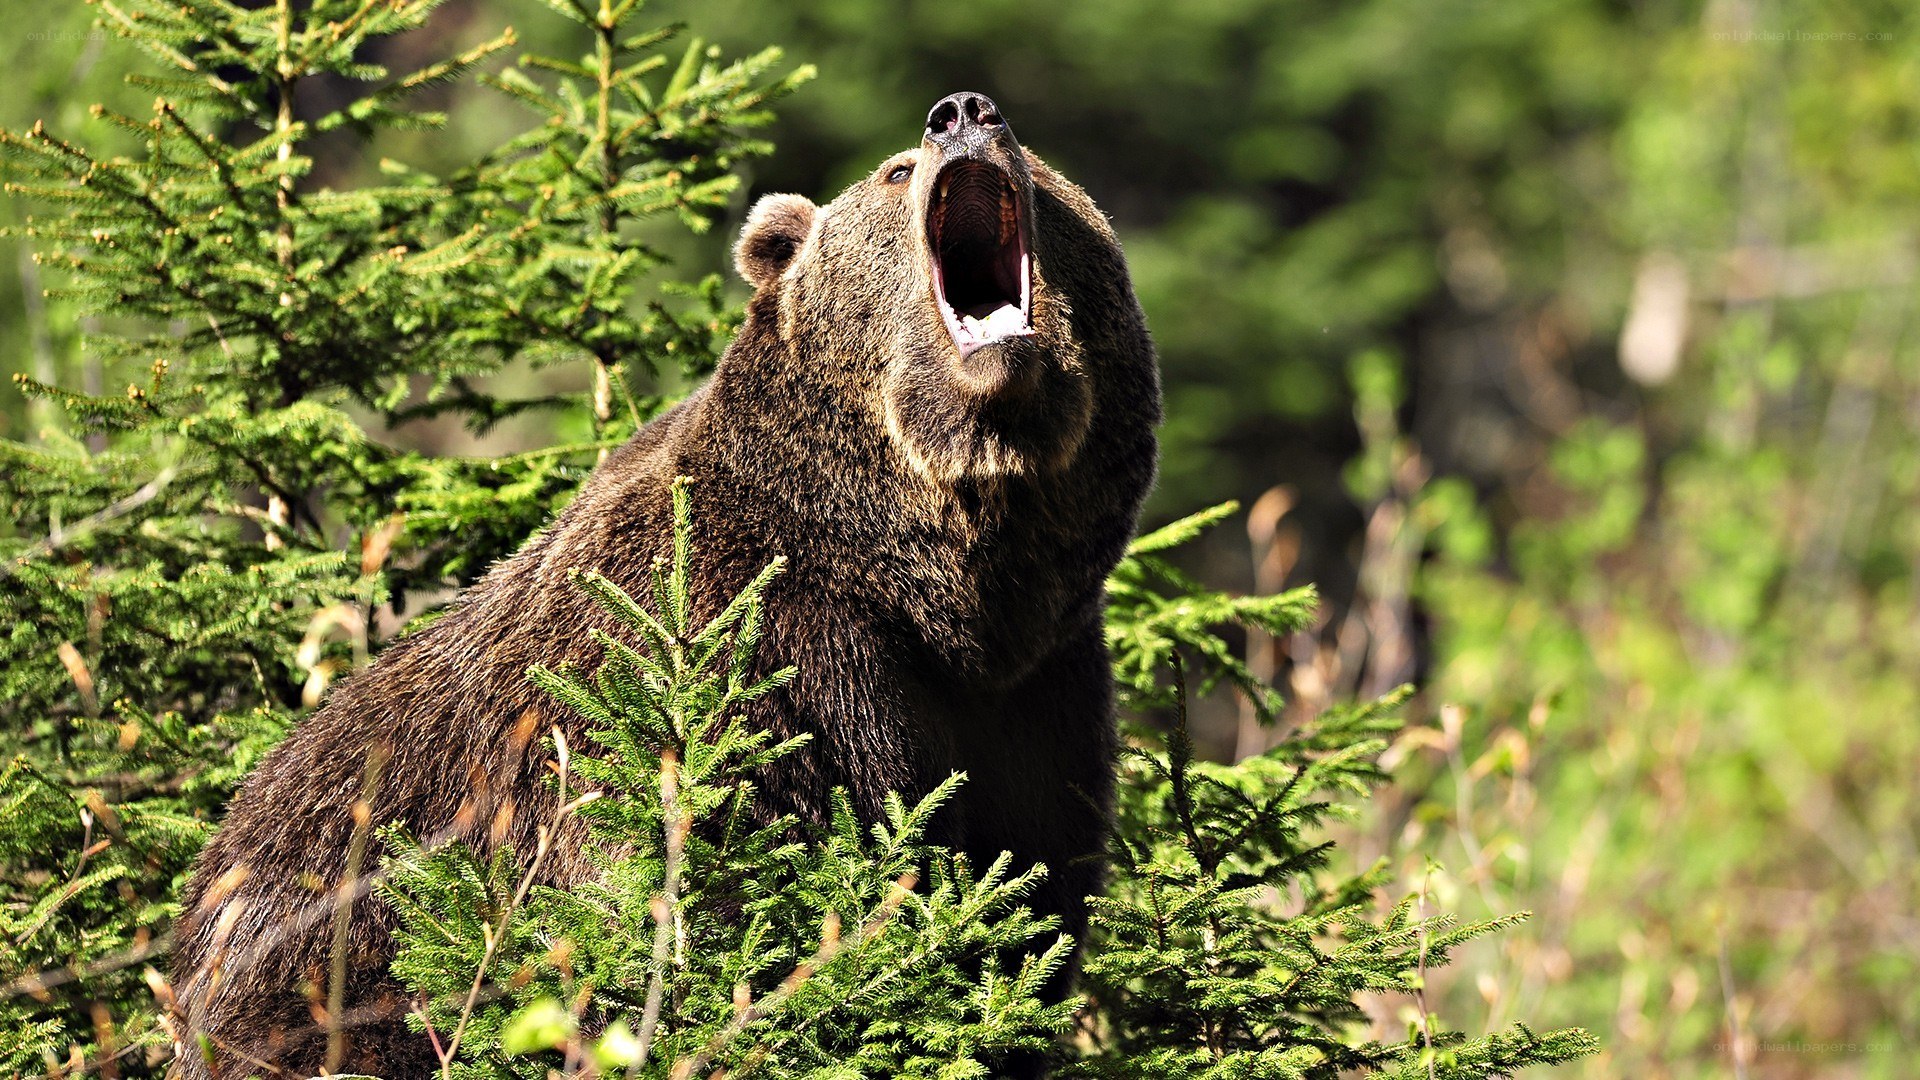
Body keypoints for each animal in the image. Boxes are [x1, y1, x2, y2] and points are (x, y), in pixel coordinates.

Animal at [168, 90, 1159, 1078]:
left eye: (1040, 164)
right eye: (896, 172)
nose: (962, 112)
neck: (926, 577)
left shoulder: (1038, 697)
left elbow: (1021, 907)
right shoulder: (745, 652)